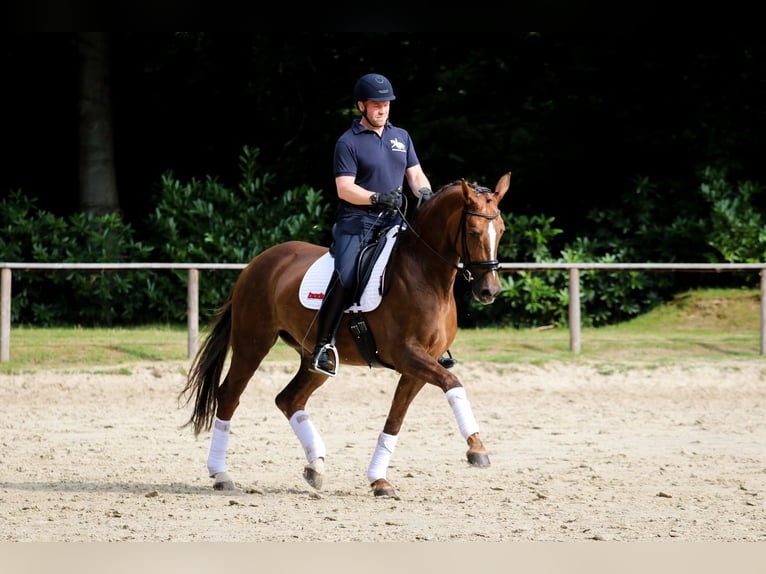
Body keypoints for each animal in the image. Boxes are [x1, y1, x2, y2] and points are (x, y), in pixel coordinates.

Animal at [182, 171, 510, 500]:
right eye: (473, 232)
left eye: (501, 230)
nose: (489, 291)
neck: (424, 274)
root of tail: (257, 263)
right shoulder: (407, 355)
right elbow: (453, 383)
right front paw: (477, 449)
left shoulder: (419, 365)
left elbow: (396, 419)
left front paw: (379, 480)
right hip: (253, 344)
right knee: (229, 396)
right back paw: (221, 474)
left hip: (312, 358)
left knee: (289, 399)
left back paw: (316, 466)